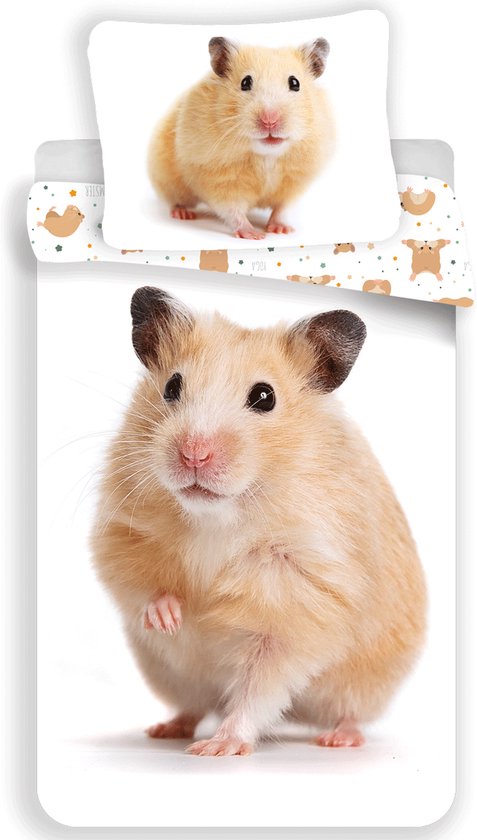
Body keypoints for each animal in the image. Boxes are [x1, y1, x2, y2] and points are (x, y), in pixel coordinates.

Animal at [91, 286, 426, 756]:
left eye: (265, 397)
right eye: (172, 386)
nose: (194, 454)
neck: (217, 515)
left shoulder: (299, 600)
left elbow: (259, 684)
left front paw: (219, 748)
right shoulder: (122, 528)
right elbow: (139, 583)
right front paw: (171, 618)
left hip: (365, 682)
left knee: (347, 711)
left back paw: (338, 739)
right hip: (172, 675)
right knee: (194, 705)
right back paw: (165, 729)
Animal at [148, 37, 334, 239]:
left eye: (295, 83)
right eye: (245, 82)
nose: (270, 120)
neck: (266, 155)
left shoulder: (295, 183)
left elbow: (283, 208)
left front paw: (281, 230)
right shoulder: (219, 181)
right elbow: (233, 210)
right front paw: (255, 235)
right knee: (176, 200)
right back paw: (183, 214)